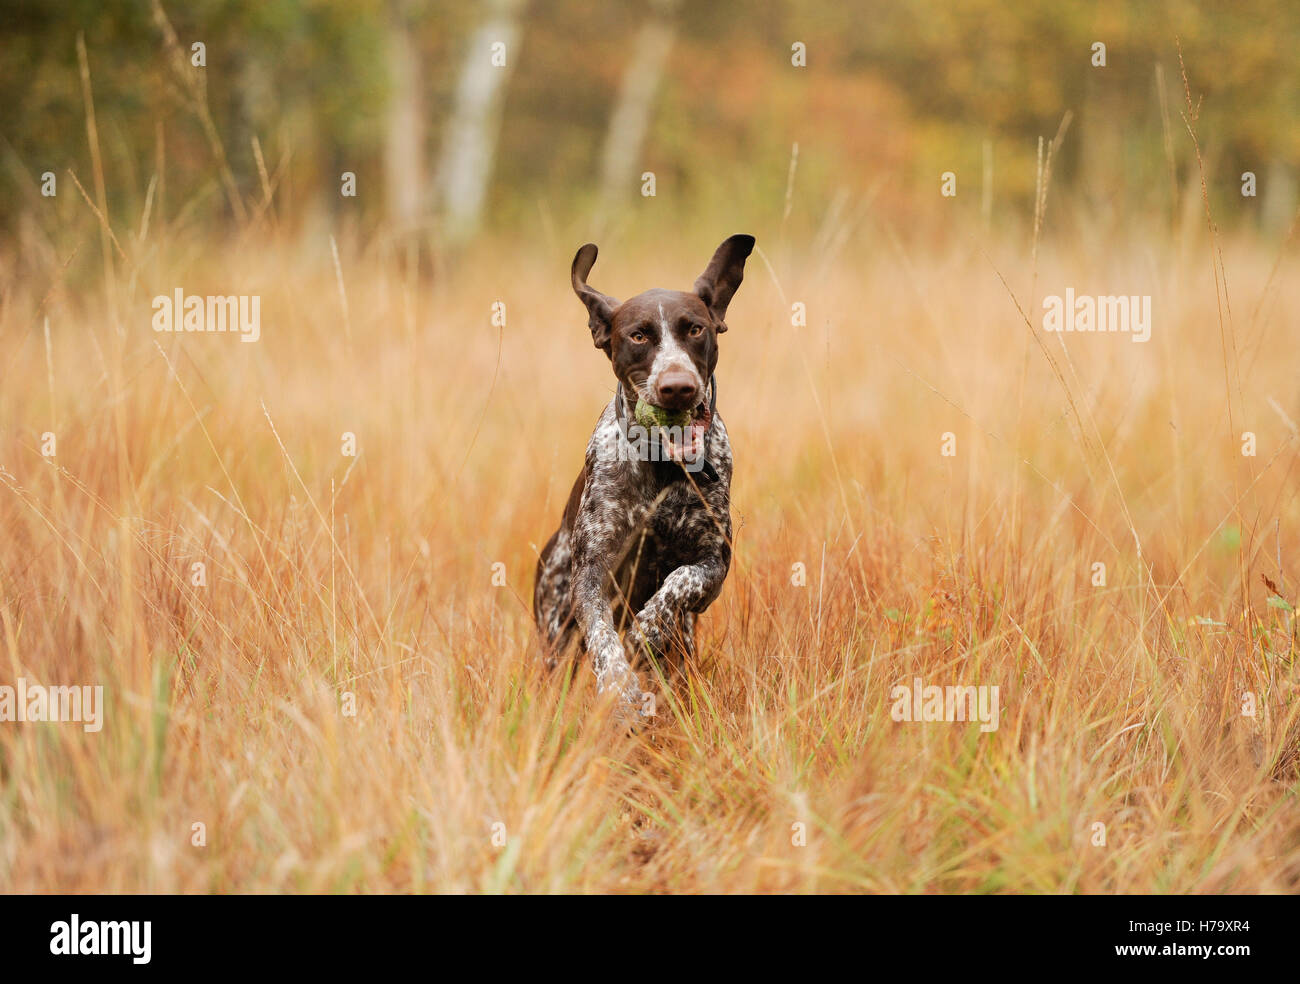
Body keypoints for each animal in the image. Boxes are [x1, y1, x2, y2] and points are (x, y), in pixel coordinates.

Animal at [533, 236, 759, 712]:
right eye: (638, 336)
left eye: (695, 329)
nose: (677, 388)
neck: (662, 467)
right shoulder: (591, 575)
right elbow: (603, 639)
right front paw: (620, 688)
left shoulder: (714, 565)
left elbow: (676, 585)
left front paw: (645, 633)